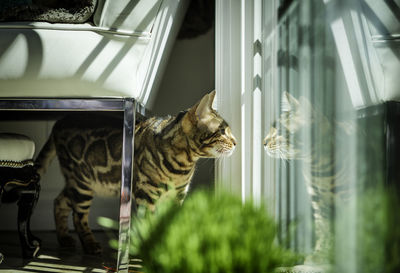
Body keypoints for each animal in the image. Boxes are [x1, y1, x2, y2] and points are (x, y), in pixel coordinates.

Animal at [266, 92, 354, 264]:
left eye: (280, 130)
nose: (264, 142)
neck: (317, 166)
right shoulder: (317, 199)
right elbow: (323, 227)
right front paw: (321, 253)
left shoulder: (350, 195)